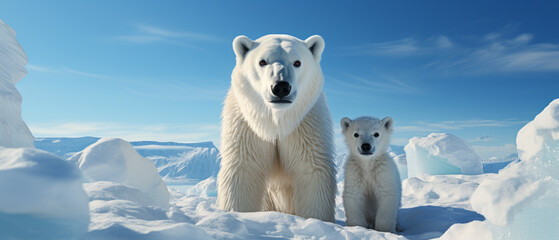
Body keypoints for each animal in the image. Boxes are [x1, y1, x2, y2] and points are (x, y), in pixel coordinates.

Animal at [217, 34, 334, 222]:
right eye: (262, 61)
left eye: (297, 62)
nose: (281, 87)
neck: (276, 121)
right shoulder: (246, 126)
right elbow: (243, 169)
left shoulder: (306, 123)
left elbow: (311, 169)